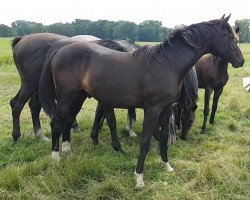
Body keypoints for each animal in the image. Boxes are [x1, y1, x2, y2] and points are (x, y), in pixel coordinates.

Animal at [38, 15, 244, 188]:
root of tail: (58, 51)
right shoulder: (152, 109)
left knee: (66, 122)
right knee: (56, 124)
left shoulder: (166, 109)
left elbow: (163, 137)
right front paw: (139, 178)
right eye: (231, 38)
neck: (167, 64)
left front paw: (166, 165)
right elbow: (145, 141)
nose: (240, 61)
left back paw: (68, 153)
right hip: (66, 97)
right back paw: (55, 159)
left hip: (77, 97)